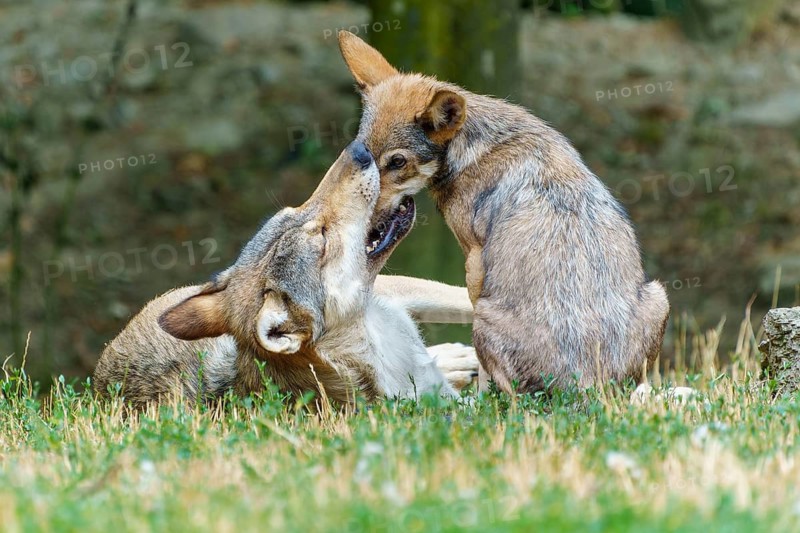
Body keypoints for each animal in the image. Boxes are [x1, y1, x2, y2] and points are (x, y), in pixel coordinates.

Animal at [336, 31, 670, 393]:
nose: (363, 227)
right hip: (660, 296)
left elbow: (484, 375)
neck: (475, 148)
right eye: (364, 155)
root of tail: (588, 385)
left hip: (483, 314)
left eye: (397, 162)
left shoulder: (474, 262)